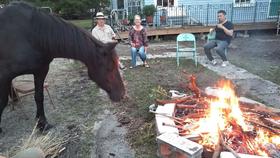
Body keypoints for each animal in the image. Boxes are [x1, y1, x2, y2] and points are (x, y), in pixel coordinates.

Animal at [0, 2, 124, 133]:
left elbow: (39, 96)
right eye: (109, 68)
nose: (122, 94)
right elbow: (2, 101)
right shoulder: (4, 76)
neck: (33, 36)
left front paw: (42, 124)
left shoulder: (40, 71)